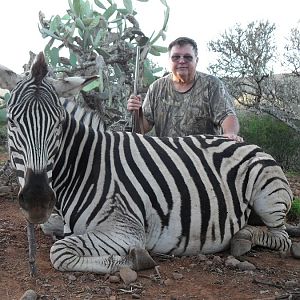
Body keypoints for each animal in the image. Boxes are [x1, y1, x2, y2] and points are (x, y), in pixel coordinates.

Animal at [6, 52, 292, 274]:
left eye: (59, 123)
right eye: (10, 121)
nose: (37, 200)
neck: (84, 167)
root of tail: (249, 144)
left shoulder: (127, 230)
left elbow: (60, 251)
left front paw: (132, 260)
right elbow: (51, 229)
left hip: (269, 199)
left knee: (282, 238)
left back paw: (242, 239)